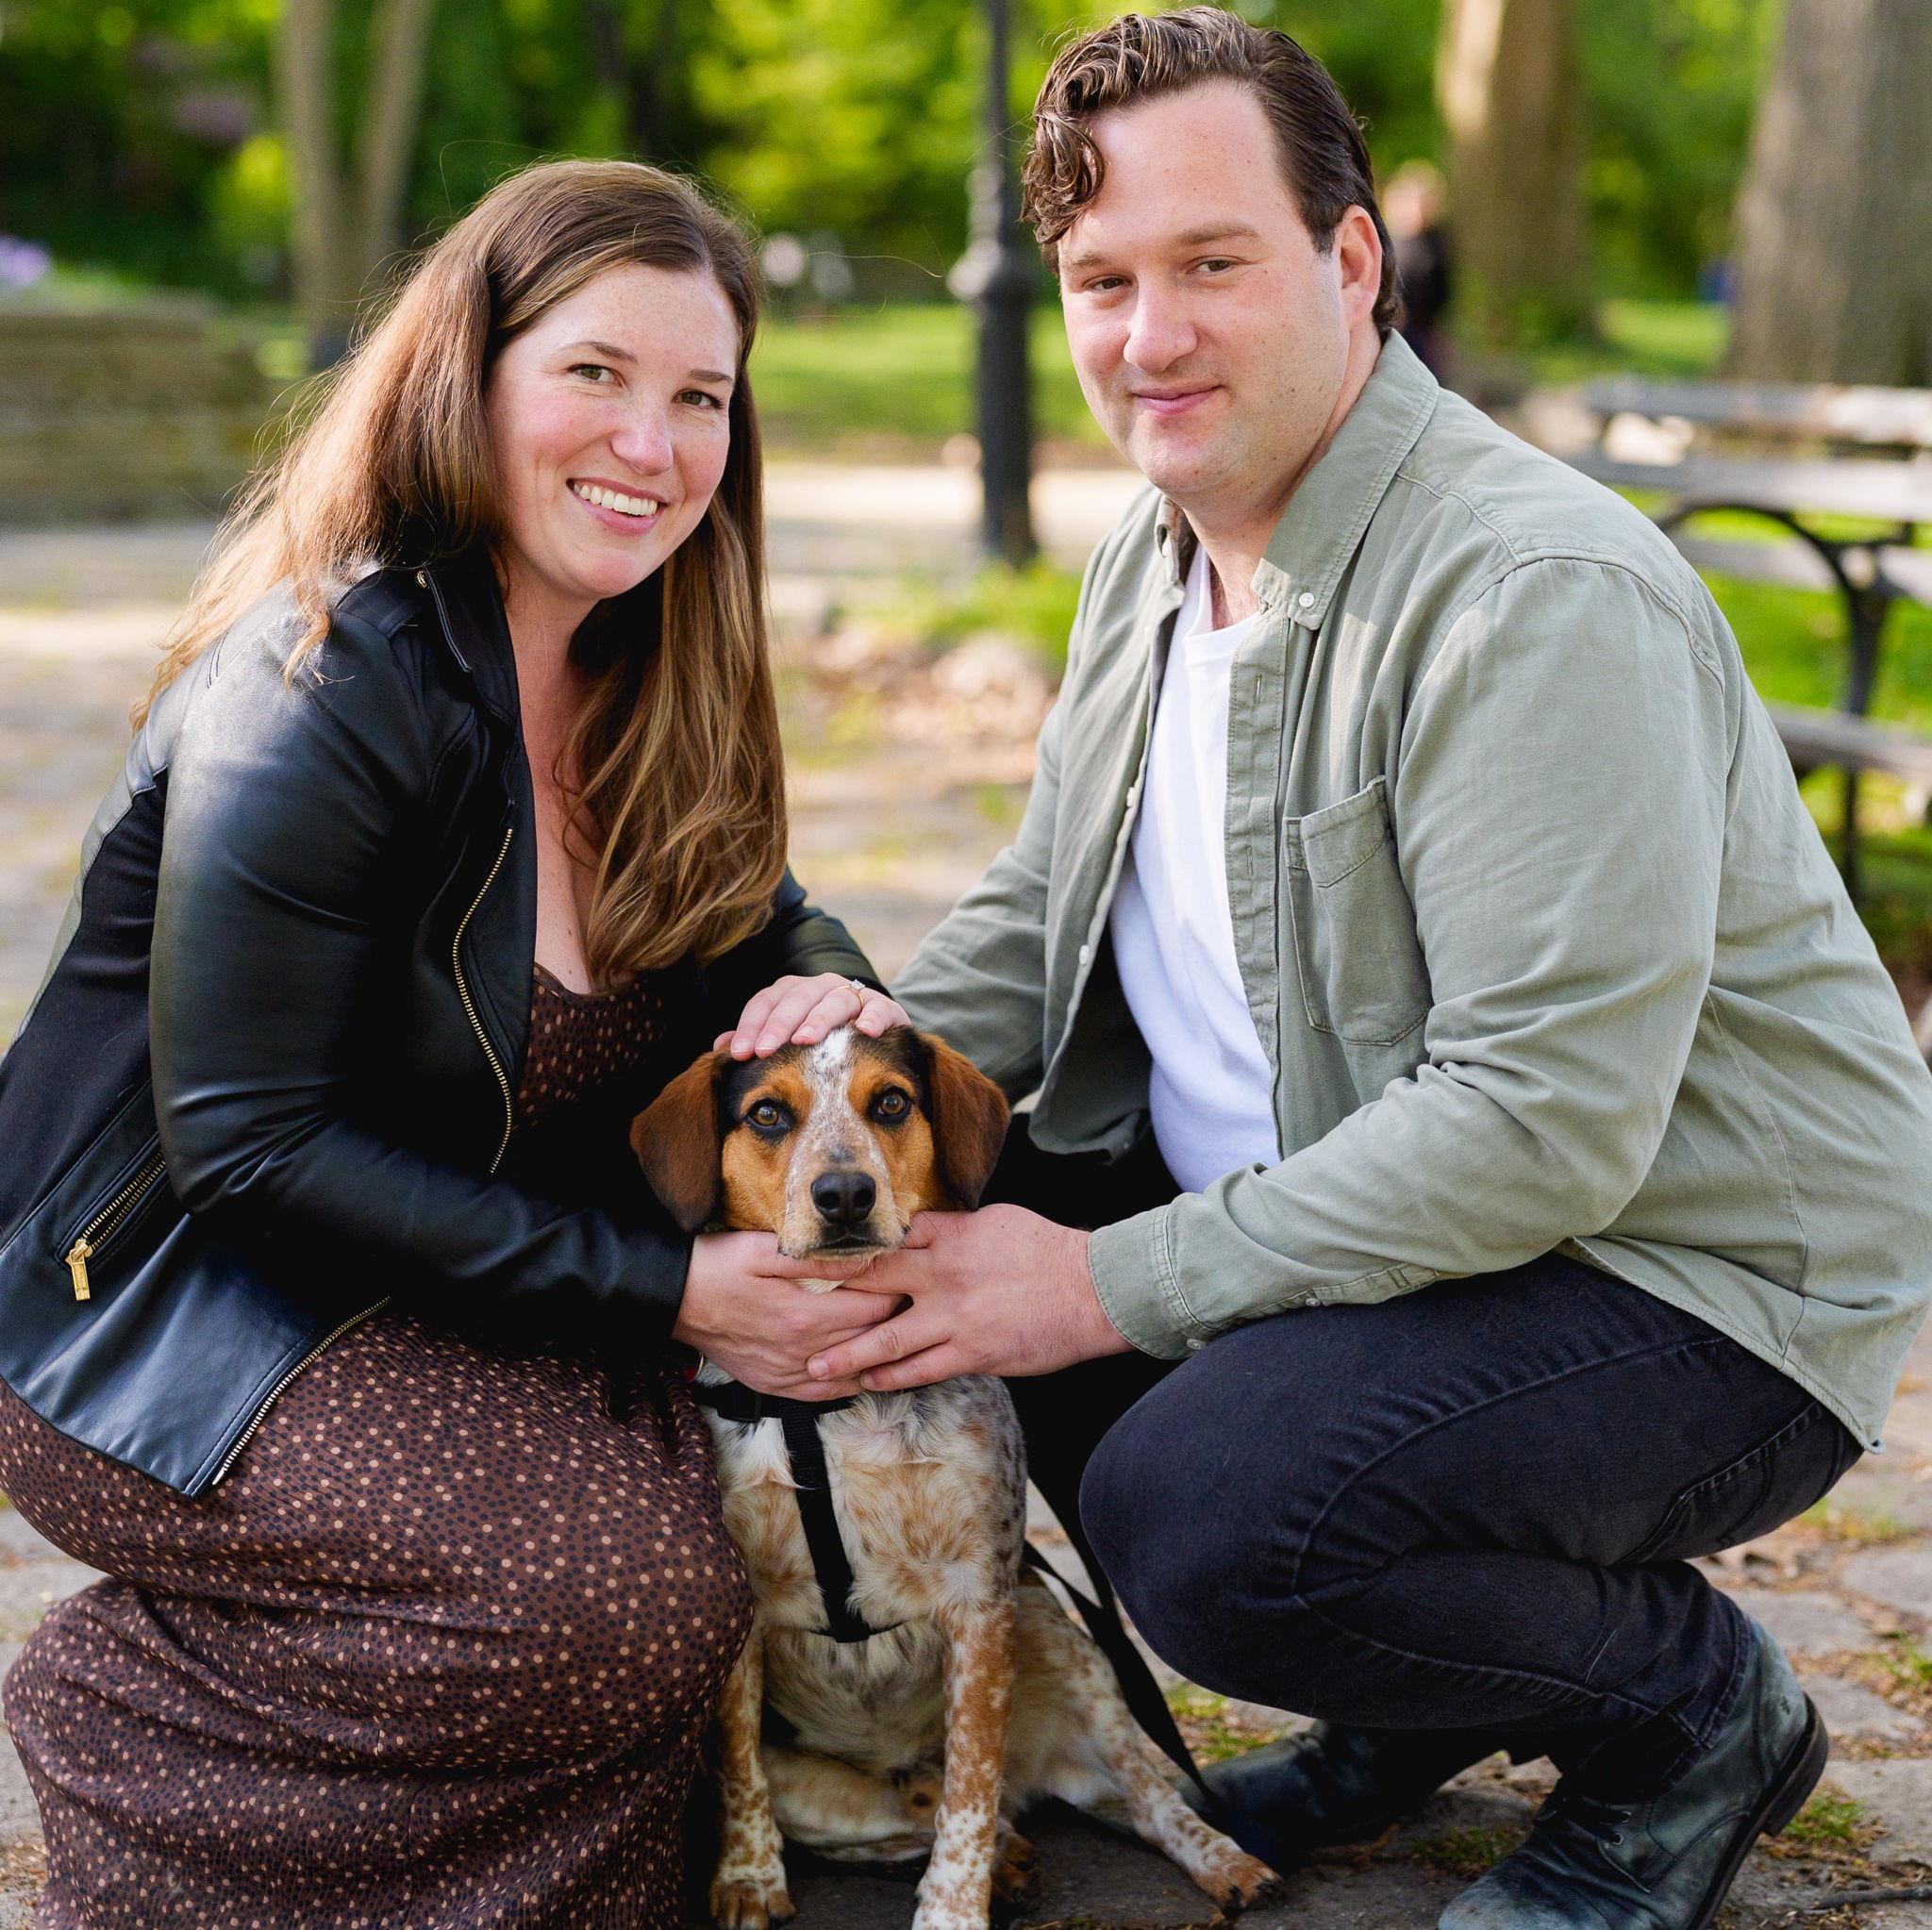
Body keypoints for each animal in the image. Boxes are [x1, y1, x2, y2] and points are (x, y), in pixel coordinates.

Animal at [632, 1023, 1282, 1930]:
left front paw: (953, 1911)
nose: (844, 1192)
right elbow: (740, 1766)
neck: (837, 1400)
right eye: (766, 1114)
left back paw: (1222, 1861)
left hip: (1067, 1647)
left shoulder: (981, 1604)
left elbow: (970, 1793)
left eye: (890, 1102)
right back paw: (1007, 1860)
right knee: (922, 1817)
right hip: (836, 1802)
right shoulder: (745, 1619)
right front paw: (750, 1878)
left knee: (1138, 1797)